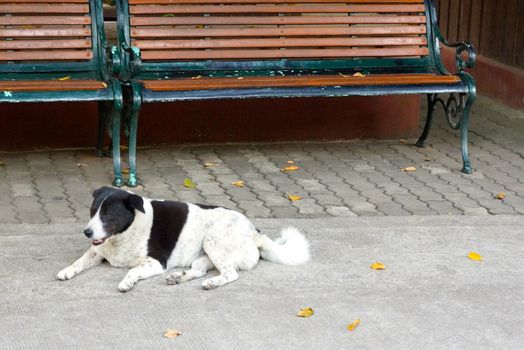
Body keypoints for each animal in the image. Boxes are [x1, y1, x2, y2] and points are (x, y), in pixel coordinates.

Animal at [56, 187, 312, 292]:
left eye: (107, 214)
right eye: (92, 211)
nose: (87, 232)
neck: (126, 231)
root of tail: (255, 232)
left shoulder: (155, 263)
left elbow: (132, 271)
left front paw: (127, 283)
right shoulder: (96, 251)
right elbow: (79, 262)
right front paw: (67, 271)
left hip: (213, 241)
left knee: (230, 274)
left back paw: (211, 283)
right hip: (204, 255)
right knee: (199, 270)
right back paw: (179, 277)